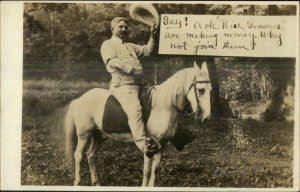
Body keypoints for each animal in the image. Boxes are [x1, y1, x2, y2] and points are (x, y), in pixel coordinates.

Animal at [64, 61, 212, 186]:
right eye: (201, 90)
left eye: (210, 89)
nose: (206, 117)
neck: (164, 105)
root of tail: (79, 99)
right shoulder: (149, 147)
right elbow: (146, 172)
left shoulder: (162, 145)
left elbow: (155, 169)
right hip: (84, 135)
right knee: (78, 155)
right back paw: (77, 182)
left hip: (98, 136)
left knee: (91, 156)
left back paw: (96, 183)